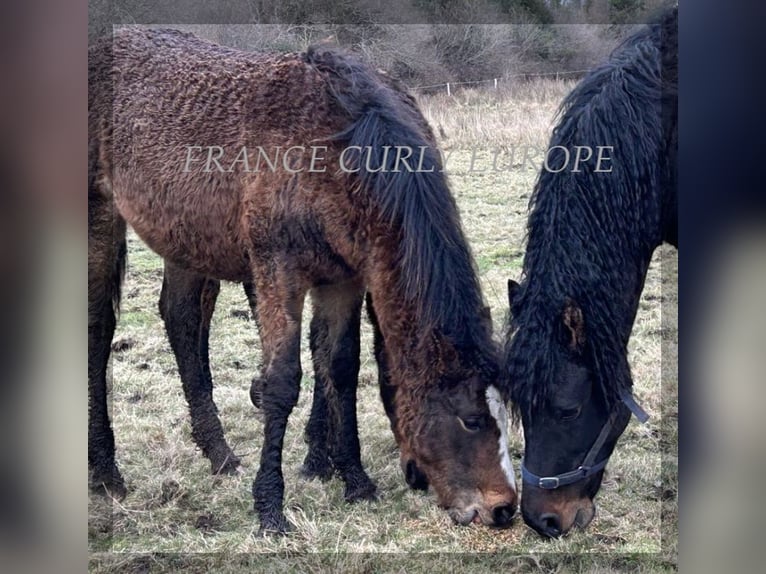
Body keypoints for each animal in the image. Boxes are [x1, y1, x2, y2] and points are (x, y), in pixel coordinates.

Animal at [91, 28, 520, 536]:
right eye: (471, 420)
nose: (504, 509)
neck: (337, 151)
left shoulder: (344, 279)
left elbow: (340, 369)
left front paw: (355, 480)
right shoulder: (280, 271)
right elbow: (282, 382)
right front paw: (270, 508)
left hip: (186, 241)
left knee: (181, 320)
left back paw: (220, 455)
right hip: (100, 217)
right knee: (99, 331)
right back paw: (105, 472)